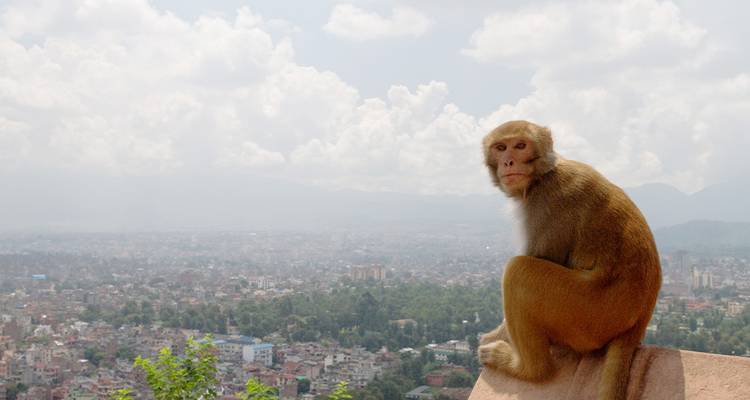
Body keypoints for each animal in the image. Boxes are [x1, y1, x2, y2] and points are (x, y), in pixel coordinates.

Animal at [478, 120, 661, 400]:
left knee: (519, 271)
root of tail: (637, 324)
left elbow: (540, 257)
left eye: (520, 146)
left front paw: (498, 333)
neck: (543, 174)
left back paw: (528, 369)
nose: (508, 161)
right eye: (500, 148)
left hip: (584, 316)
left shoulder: (546, 202)